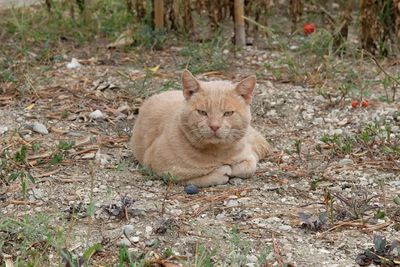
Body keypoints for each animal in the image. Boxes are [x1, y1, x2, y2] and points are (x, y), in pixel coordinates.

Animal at [130, 71, 268, 188]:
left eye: (228, 113)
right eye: (202, 112)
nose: (214, 126)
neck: (217, 153)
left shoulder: (249, 155)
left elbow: (249, 167)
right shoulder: (160, 168)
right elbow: (198, 178)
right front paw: (221, 171)